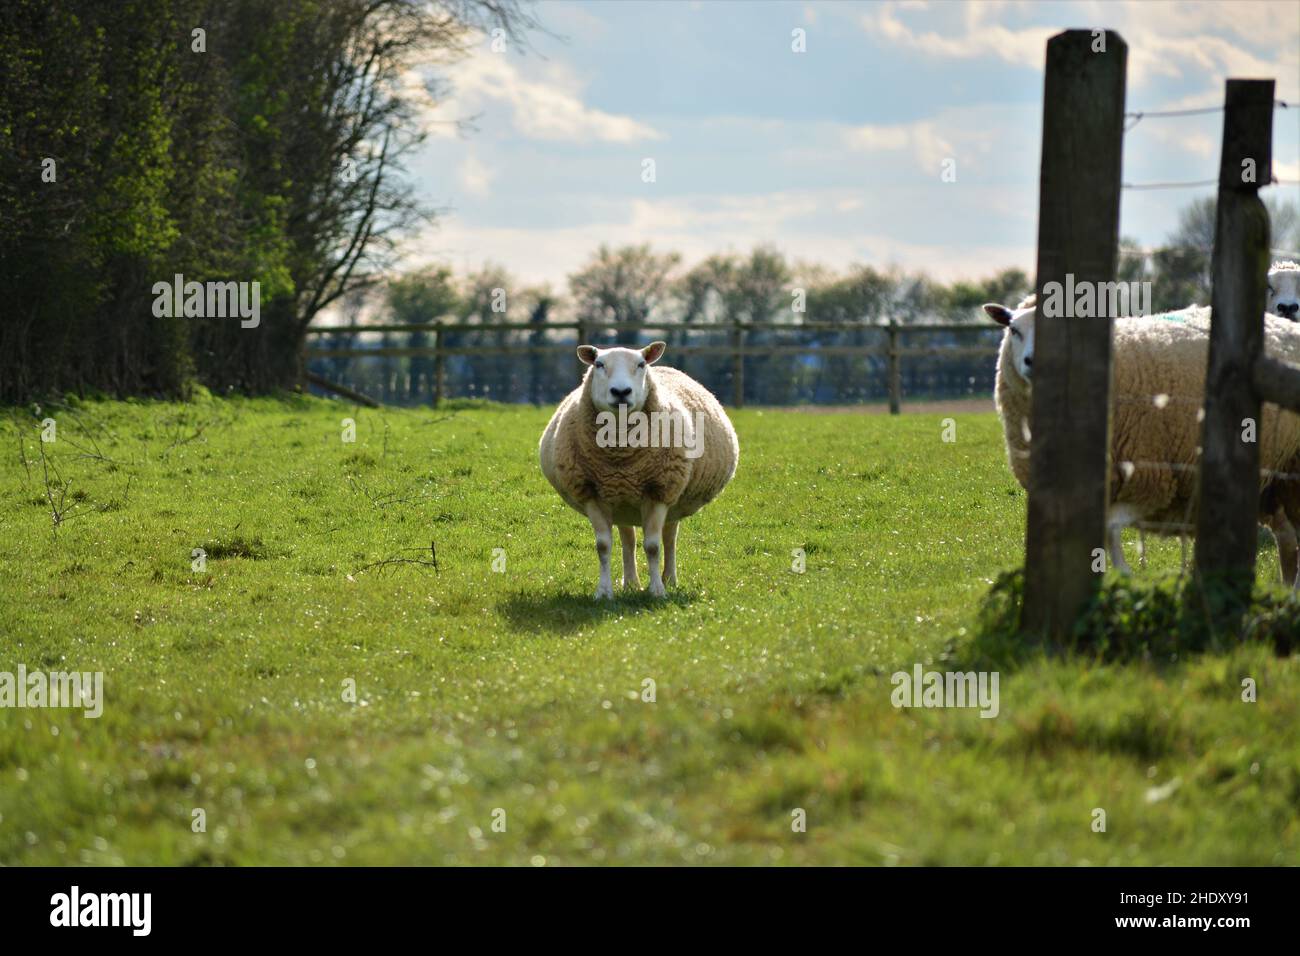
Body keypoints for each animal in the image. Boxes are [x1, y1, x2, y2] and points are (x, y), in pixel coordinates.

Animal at [539, 340, 739, 599]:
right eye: (599, 364)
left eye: (641, 364)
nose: (621, 392)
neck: (619, 455)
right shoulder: (591, 493)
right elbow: (603, 546)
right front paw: (603, 592)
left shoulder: (659, 491)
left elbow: (653, 547)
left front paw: (657, 591)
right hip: (621, 502)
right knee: (628, 539)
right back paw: (631, 582)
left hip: (671, 498)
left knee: (669, 537)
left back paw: (669, 579)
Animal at [985, 295, 1300, 584]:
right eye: (1014, 329)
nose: (1033, 361)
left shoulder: (1150, 480)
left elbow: (1111, 529)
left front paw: (1125, 575)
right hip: (1274, 482)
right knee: (1287, 540)